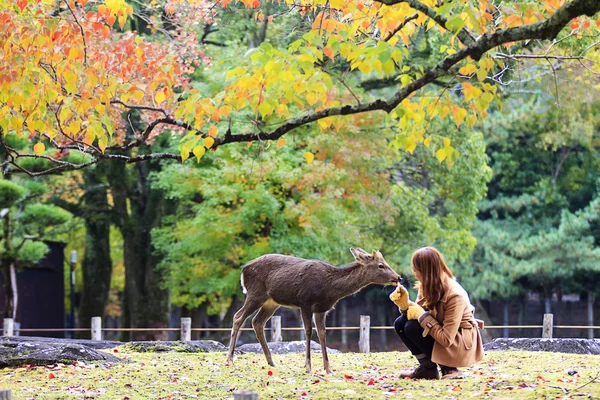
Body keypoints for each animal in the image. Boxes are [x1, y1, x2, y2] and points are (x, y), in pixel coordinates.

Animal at [225, 247, 398, 376]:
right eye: (381, 265)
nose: (398, 277)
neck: (329, 289)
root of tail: (243, 270)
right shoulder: (305, 302)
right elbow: (308, 331)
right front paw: (308, 366)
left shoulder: (322, 309)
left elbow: (322, 333)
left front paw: (328, 369)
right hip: (255, 294)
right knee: (238, 316)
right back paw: (230, 359)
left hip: (271, 302)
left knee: (257, 322)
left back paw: (271, 362)